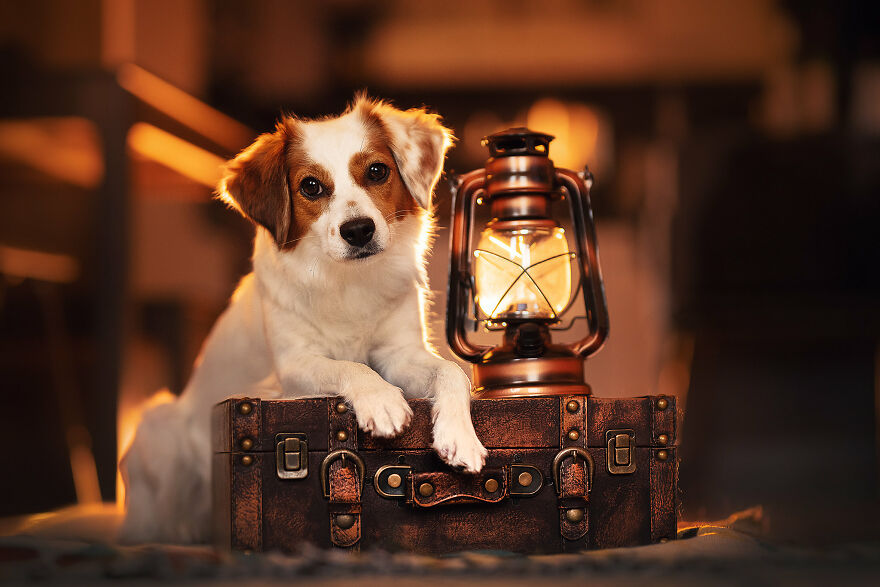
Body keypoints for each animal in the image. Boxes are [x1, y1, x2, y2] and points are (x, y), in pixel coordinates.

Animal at [117, 95, 488, 544]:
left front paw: (460, 436)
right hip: (160, 427)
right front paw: (381, 400)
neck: (346, 281)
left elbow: (452, 372)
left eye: (377, 171)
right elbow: (349, 366)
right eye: (311, 186)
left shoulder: (400, 354)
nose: (358, 230)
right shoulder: (293, 368)